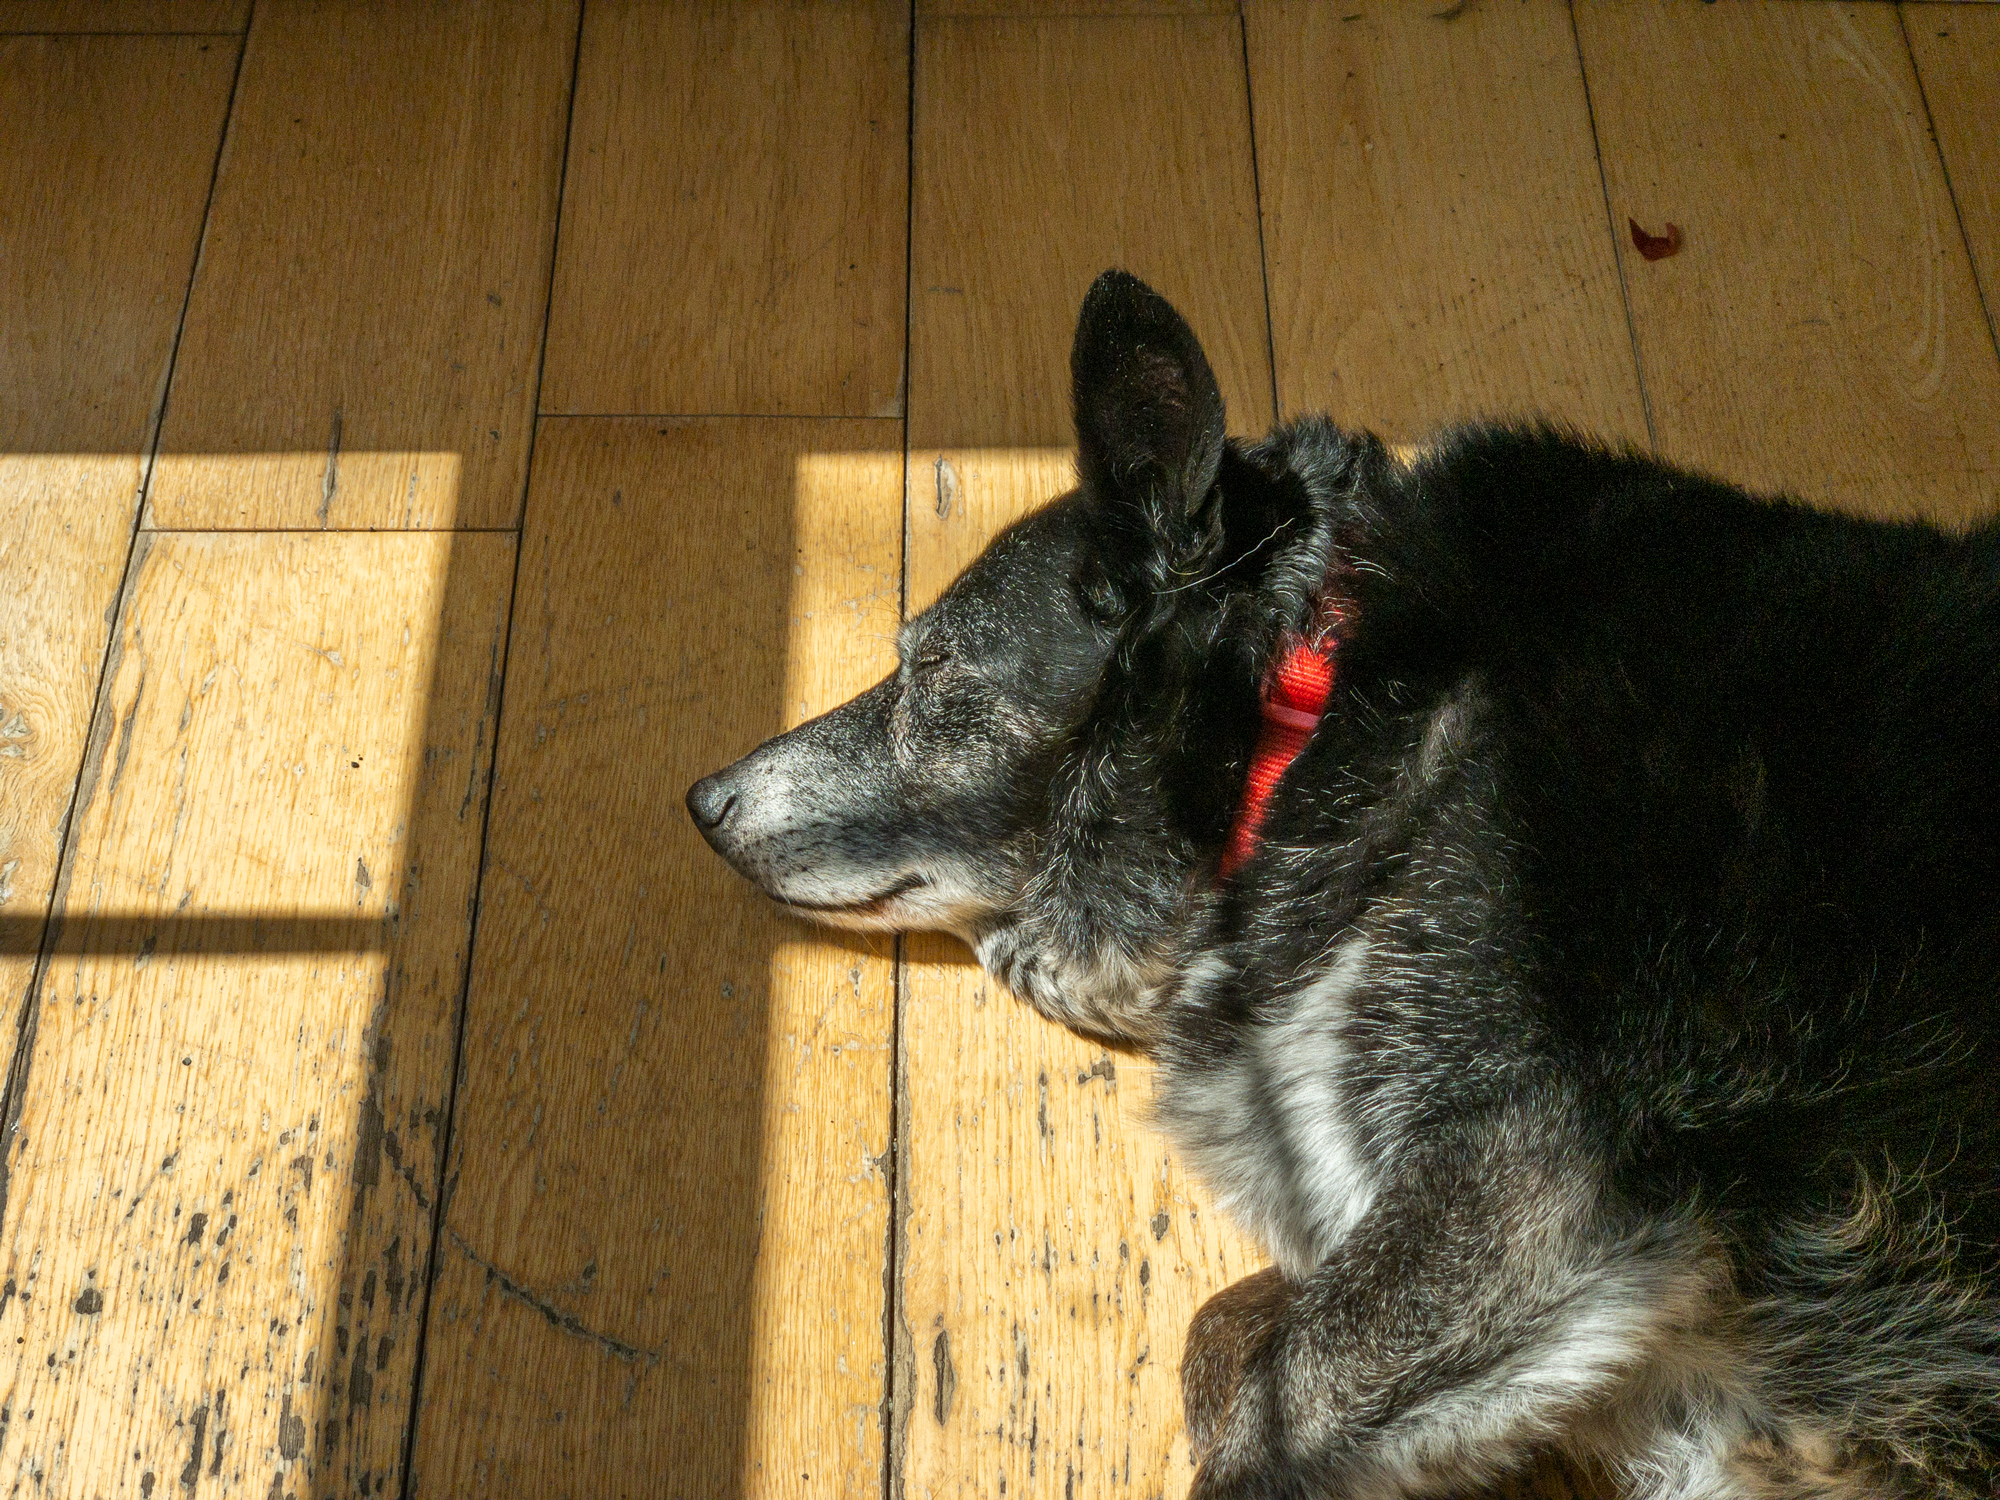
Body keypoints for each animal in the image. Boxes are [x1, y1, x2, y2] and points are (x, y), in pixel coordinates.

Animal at [692, 274, 2000, 1500]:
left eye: (932, 672)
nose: (701, 798)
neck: (1303, 722)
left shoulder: (1536, 1173)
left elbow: (1272, 1389)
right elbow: (1222, 1331)